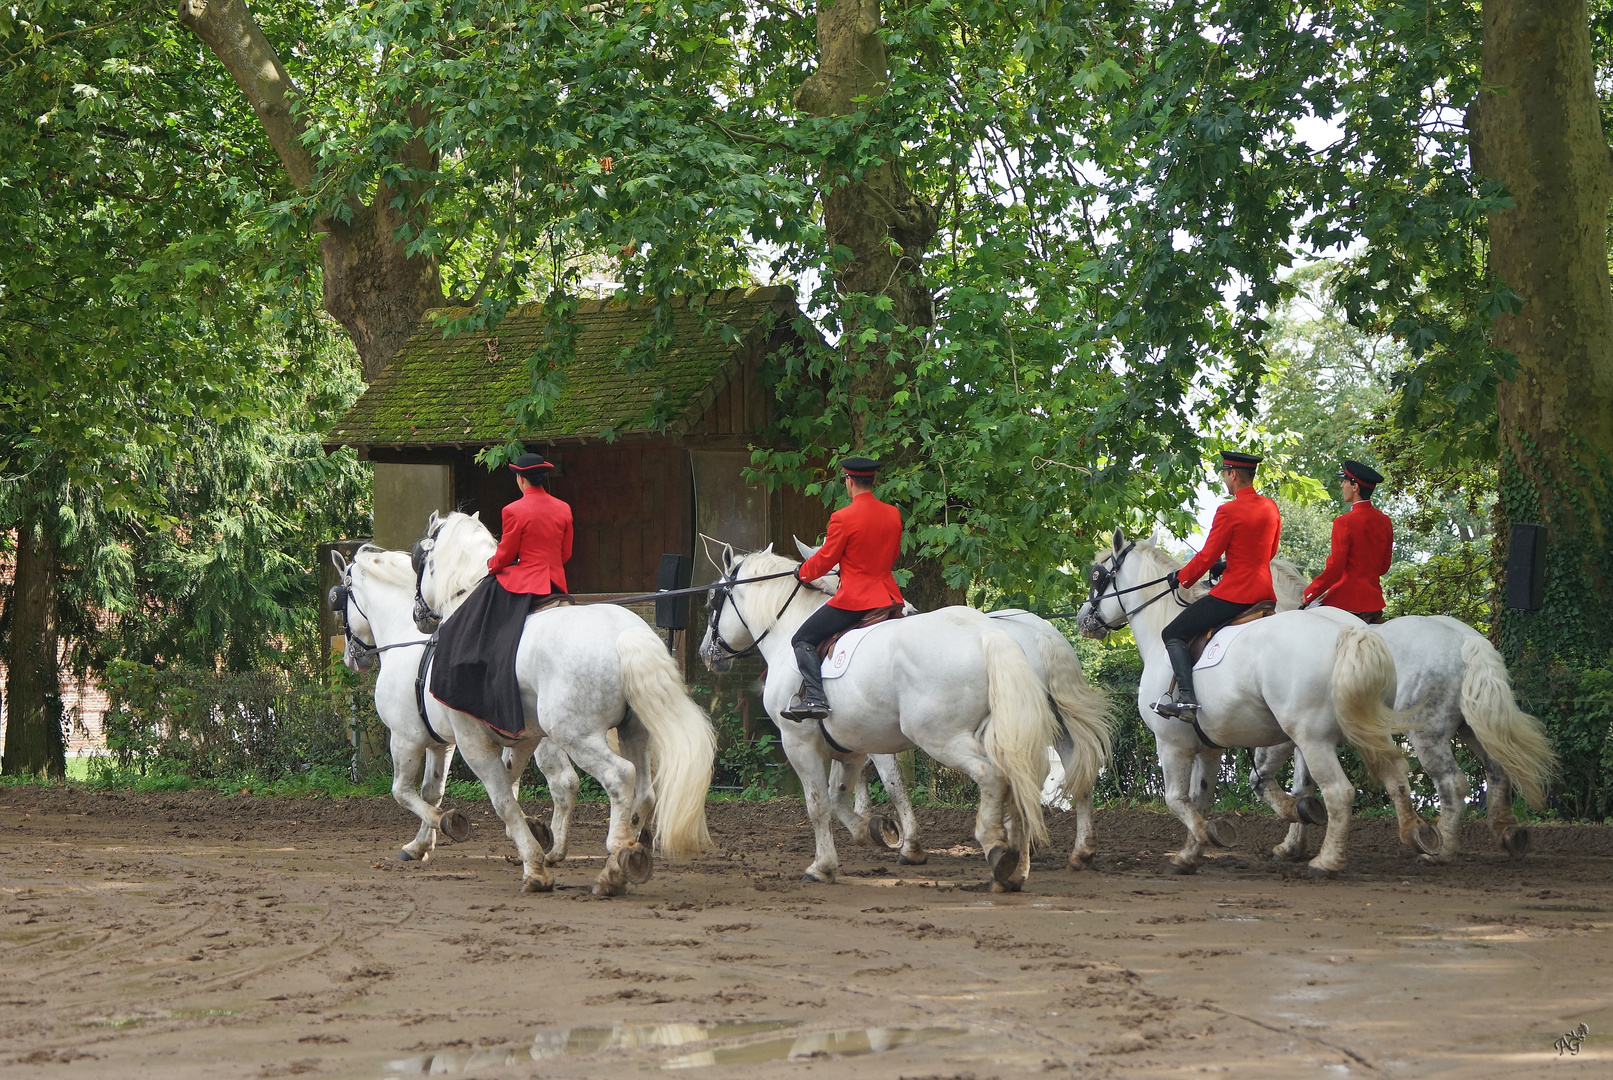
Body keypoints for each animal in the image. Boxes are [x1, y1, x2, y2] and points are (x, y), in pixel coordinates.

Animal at [329, 544, 587, 870]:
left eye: (340, 602)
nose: (352, 658)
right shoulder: (442, 743)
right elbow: (431, 792)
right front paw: (420, 845)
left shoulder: (405, 738)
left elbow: (401, 792)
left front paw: (446, 824)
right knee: (564, 781)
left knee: (560, 781)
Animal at [419, 512, 716, 896]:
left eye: (421, 559)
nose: (418, 613)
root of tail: (625, 634)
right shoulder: (524, 736)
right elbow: (513, 784)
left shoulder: (473, 740)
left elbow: (502, 799)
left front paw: (535, 867)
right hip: (634, 731)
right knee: (645, 793)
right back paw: (618, 866)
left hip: (578, 737)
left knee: (620, 776)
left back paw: (617, 856)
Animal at [693, 544, 1083, 889]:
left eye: (713, 600)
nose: (706, 653)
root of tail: (987, 633)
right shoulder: (850, 747)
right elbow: (839, 797)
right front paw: (875, 831)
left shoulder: (799, 742)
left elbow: (823, 803)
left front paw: (825, 865)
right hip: (1006, 734)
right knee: (1023, 779)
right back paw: (1019, 864)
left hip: (942, 737)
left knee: (993, 776)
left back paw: (997, 844)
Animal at [1077, 531, 1432, 876]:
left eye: (1097, 576)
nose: (1082, 618)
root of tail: (1349, 629)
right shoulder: (1210, 748)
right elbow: (1202, 798)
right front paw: (1190, 855)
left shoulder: (1171, 743)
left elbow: (1176, 800)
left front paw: (1211, 834)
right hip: (1366, 729)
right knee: (1395, 774)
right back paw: (1417, 833)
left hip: (1312, 738)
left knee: (1339, 792)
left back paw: (1326, 861)